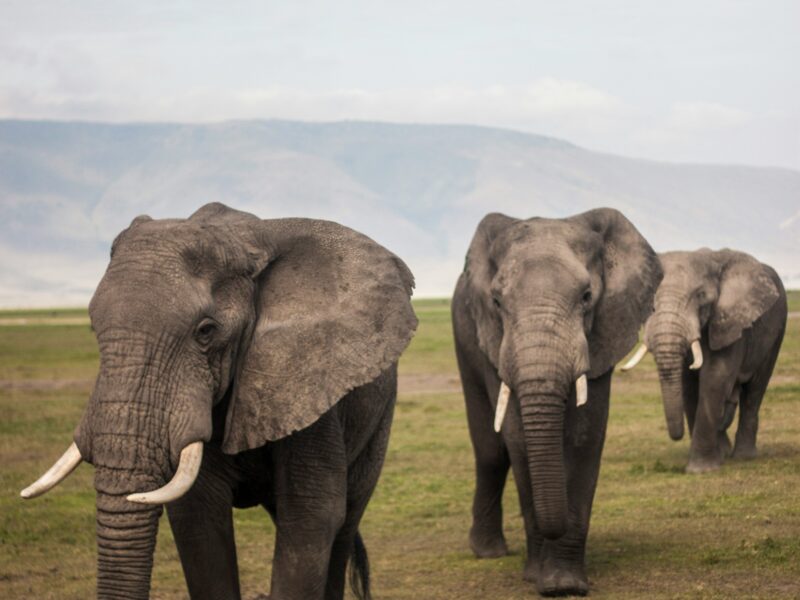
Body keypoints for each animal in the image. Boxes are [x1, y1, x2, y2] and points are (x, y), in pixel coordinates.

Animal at [20, 202, 417, 600]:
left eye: (206, 332)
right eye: (92, 326)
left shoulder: (308, 381)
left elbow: (311, 516)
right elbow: (199, 518)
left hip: (380, 417)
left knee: (346, 521)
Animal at [451, 208, 662, 596]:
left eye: (587, 296)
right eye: (496, 302)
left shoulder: (603, 332)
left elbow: (584, 437)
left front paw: (564, 584)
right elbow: (518, 439)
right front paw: (539, 578)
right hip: (464, 334)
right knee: (491, 451)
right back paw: (488, 552)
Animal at [620, 249, 787, 473]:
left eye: (701, 296)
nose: (677, 435)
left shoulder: (730, 322)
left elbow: (715, 377)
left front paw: (701, 470)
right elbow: (689, 385)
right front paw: (714, 459)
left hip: (777, 331)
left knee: (755, 390)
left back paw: (744, 456)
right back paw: (725, 451)